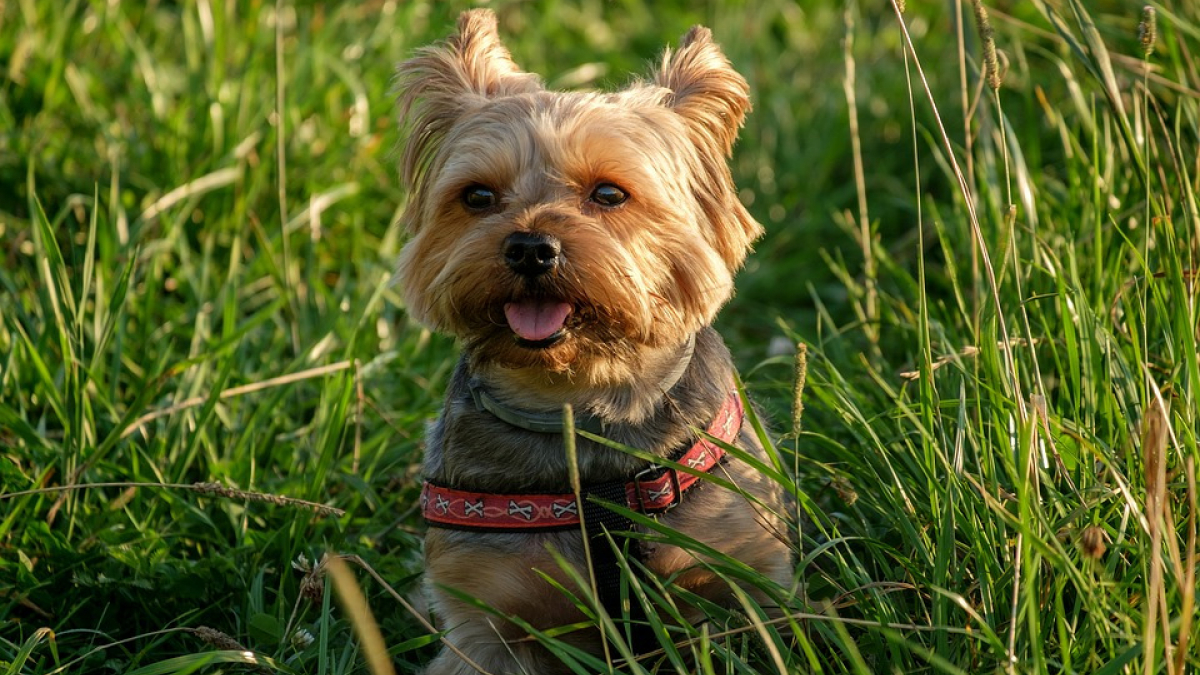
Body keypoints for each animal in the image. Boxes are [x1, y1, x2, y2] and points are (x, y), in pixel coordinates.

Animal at [396, 9, 796, 667]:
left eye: (609, 193)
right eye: (477, 196)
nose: (530, 247)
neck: (581, 406)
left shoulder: (748, 576)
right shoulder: (484, 619)